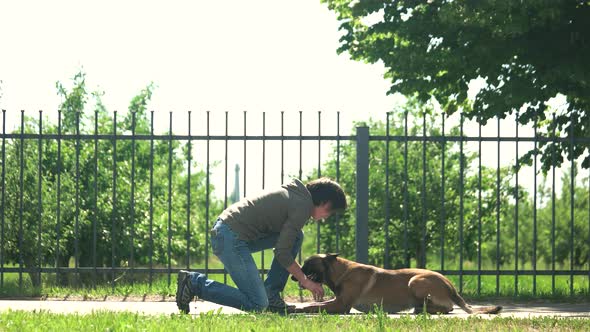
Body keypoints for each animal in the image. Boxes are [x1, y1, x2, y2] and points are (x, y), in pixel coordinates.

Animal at [294, 254, 502, 314]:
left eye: (308, 263)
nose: (295, 277)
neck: (342, 272)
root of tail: (450, 285)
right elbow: (315, 304)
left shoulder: (342, 305)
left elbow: (314, 306)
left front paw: (297, 309)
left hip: (415, 281)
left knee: (448, 308)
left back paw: (423, 309)